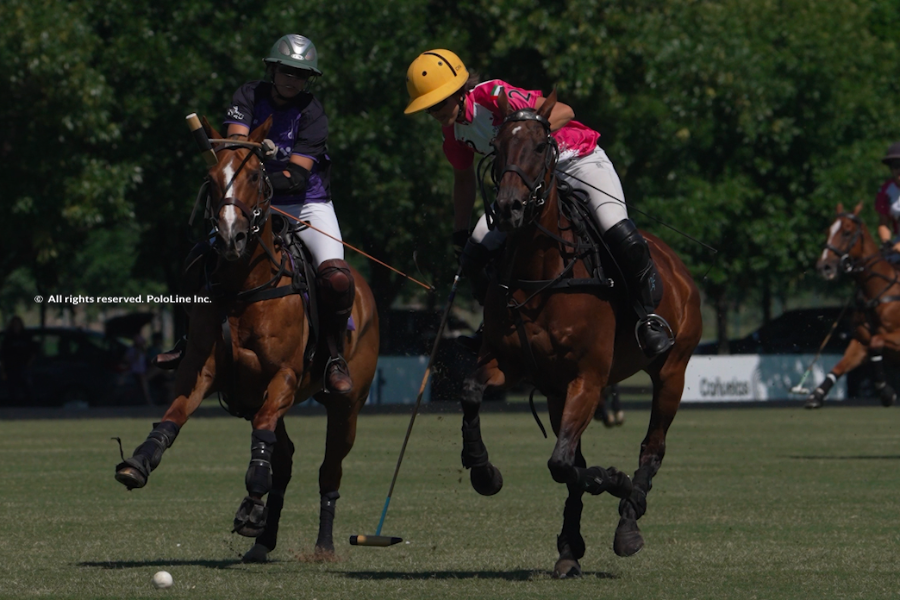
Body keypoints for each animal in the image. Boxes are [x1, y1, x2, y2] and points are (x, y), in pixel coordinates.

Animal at [114, 117, 380, 562]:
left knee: (328, 468)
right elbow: (174, 415)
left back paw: (322, 544)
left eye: (255, 174)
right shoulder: (202, 368)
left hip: (348, 404)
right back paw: (262, 541)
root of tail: (364, 287)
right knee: (283, 458)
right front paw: (139, 462)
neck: (244, 286)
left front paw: (251, 501)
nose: (229, 238)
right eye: (210, 178)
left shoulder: (284, 376)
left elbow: (264, 439)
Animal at [456, 90, 703, 578]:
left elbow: (562, 461)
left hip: (672, 370)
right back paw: (571, 547)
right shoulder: (515, 366)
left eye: (539, 146)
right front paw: (483, 471)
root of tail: (677, 266)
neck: (541, 271)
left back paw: (629, 522)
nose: (509, 209)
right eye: (498, 148)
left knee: (652, 446)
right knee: (578, 460)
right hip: (556, 394)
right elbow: (474, 393)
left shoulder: (587, 378)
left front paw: (618, 482)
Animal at [805, 202, 899, 409]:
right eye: (828, 231)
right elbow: (840, 365)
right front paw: (816, 395)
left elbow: (877, 341)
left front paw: (885, 391)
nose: (824, 267)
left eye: (847, 232)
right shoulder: (860, 341)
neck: (877, 291)